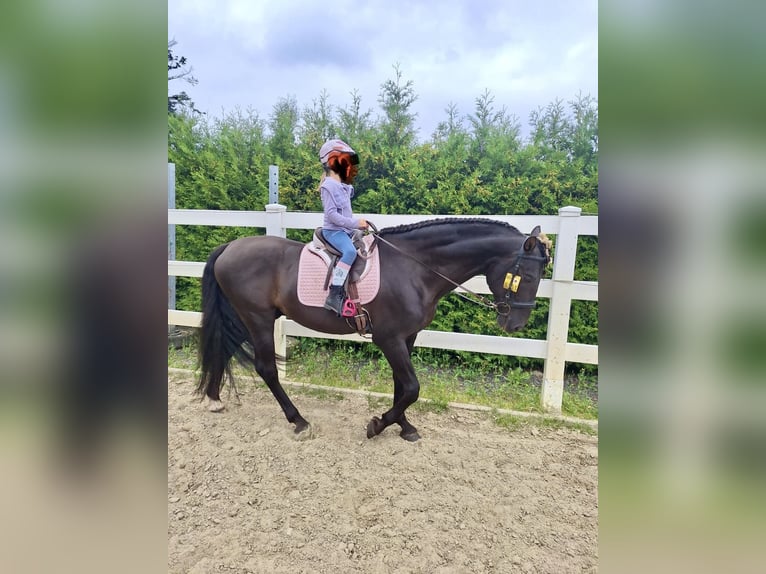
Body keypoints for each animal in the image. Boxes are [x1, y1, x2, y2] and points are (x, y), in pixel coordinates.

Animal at [196, 218, 551, 442]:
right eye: (528, 276)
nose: (515, 324)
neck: (413, 268)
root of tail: (229, 247)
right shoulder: (388, 338)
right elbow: (412, 388)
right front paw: (378, 424)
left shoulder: (407, 337)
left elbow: (401, 386)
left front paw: (404, 427)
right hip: (257, 318)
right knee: (266, 368)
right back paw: (299, 420)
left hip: (246, 319)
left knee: (224, 349)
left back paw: (214, 398)